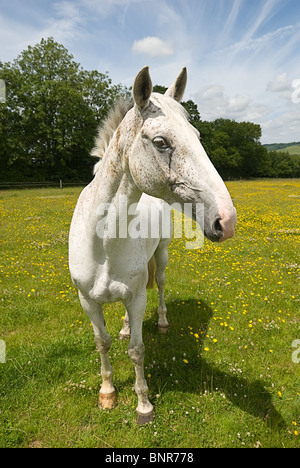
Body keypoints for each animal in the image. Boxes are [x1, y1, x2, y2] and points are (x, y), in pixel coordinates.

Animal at [69, 66, 238, 424]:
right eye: (161, 142)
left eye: (198, 136)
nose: (226, 220)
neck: (102, 244)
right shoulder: (87, 300)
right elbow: (102, 342)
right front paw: (107, 393)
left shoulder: (137, 298)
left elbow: (136, 350)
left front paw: (143, 406)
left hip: (160, 257)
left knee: (159, 284)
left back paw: (161, 322)